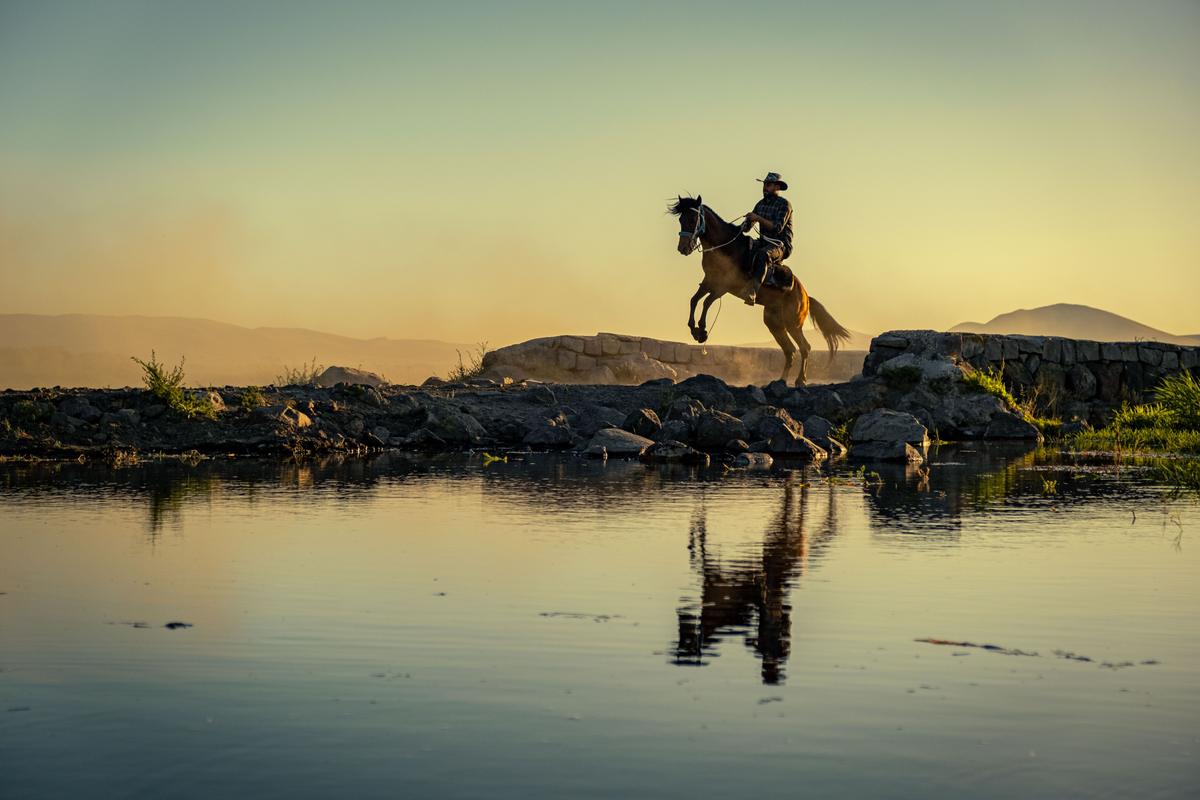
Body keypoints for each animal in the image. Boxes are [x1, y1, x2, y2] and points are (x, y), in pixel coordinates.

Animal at [668, 195, 851, 386]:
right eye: (681, 220)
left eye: (693, 219)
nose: (683, 248)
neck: (726, 248)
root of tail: (806, 296)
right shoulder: (709, 282)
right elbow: (694, 300)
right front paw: (694, 330)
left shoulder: (723, 286)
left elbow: (705, 302)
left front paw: (702, 332)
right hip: (774, 322)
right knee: (790, 350)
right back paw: (781, 380)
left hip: (793, 322)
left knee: (804, 347)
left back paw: (800, 380)